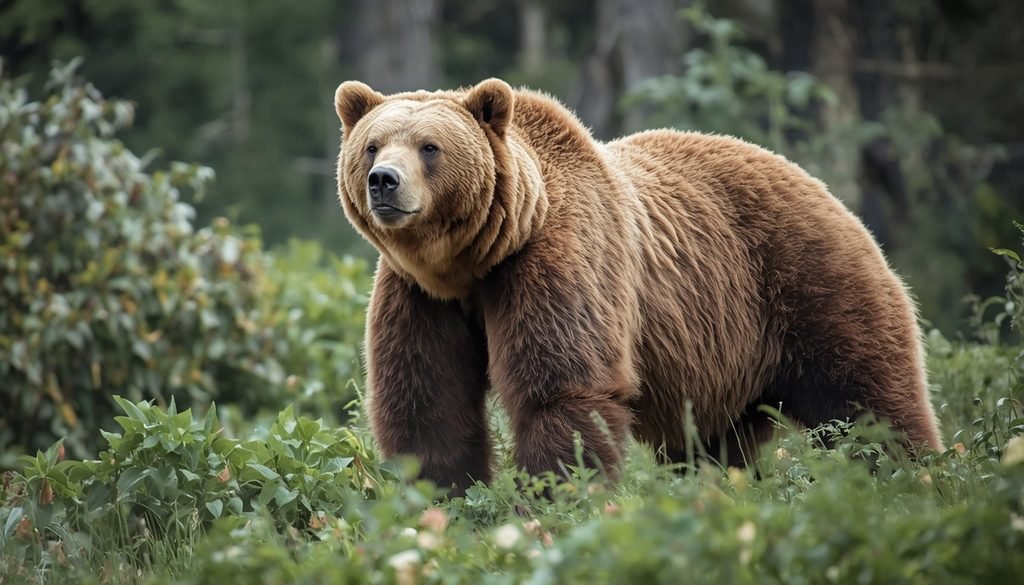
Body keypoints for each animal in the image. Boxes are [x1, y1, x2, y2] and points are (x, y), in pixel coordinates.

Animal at [333, 78, 943, 495]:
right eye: (372, 145)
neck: (476, 260)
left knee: (869, 399)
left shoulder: (558, 262)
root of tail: (817, 183)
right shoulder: (421, 297)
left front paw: (551, 502)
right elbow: (426, 405)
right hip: (723, 356)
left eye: (430, 146)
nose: (384, 181)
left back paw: (916, 477)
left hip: (807, 278)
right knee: (713, 445)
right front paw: (441, 501)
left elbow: (563, 390)